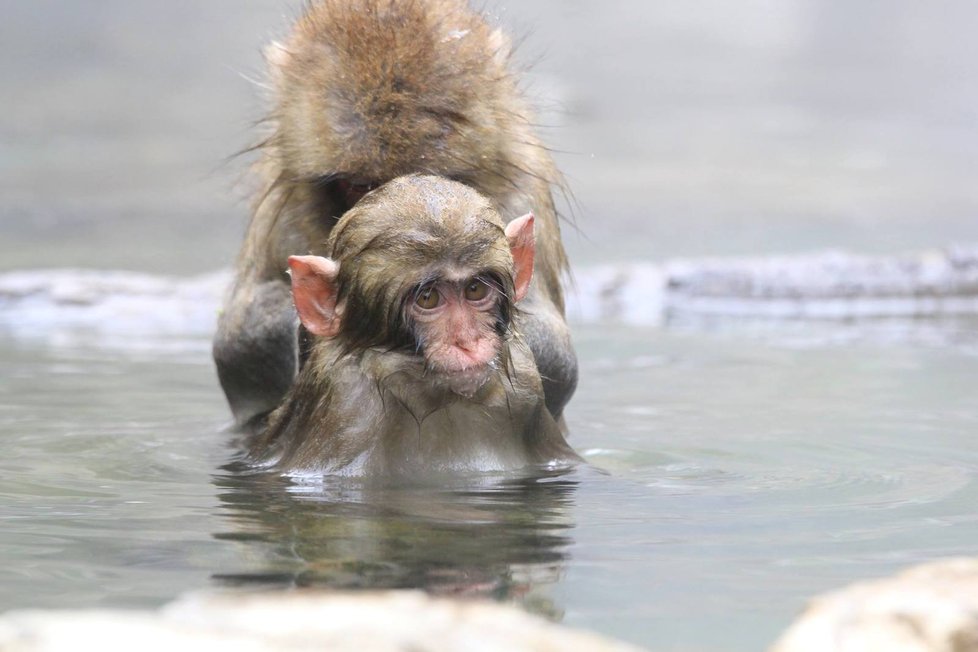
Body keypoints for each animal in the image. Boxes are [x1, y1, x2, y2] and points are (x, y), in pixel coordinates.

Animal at [215, 0, 572, 428]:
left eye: (428, 179)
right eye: (360, 187)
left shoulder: (522, 192)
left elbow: (557, 354)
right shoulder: (284, 202)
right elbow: (237, 351)